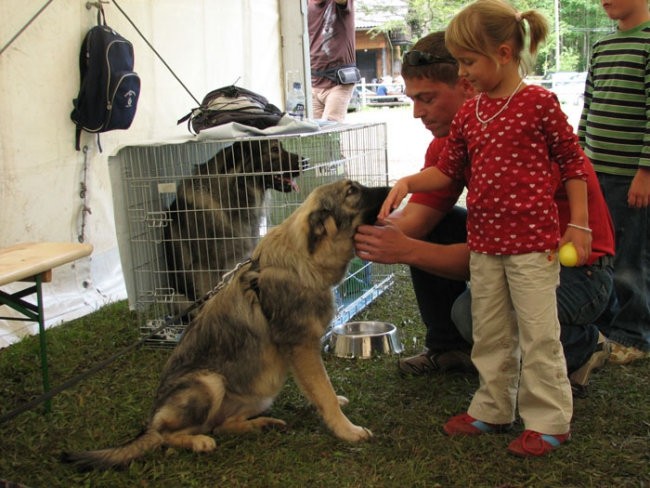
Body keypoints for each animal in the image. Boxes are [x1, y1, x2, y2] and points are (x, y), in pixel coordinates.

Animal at [63, 178, 388, 468]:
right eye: (352, 191)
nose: (391, 187)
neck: (303, 263)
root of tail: (150, 420)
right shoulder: (302, 348)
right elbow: (324, 392)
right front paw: (347, 430)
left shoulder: (301, 353)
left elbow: (320, 389)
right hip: (210, 382)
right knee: (168, 436)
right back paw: (197, 441)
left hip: (263, 387)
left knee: (220, 424)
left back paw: (260, 424)